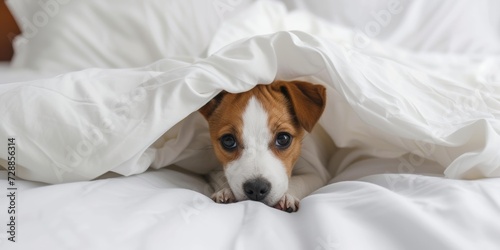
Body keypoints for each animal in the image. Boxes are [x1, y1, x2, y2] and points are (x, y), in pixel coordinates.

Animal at [199, 80, 328, 213]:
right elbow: (220, 176)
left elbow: (298, 180)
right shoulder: (211, 170)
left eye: (283, 138)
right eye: (228, 140)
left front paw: (287, 196)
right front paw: (225, 191)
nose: (256, 187)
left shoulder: (316, 173)